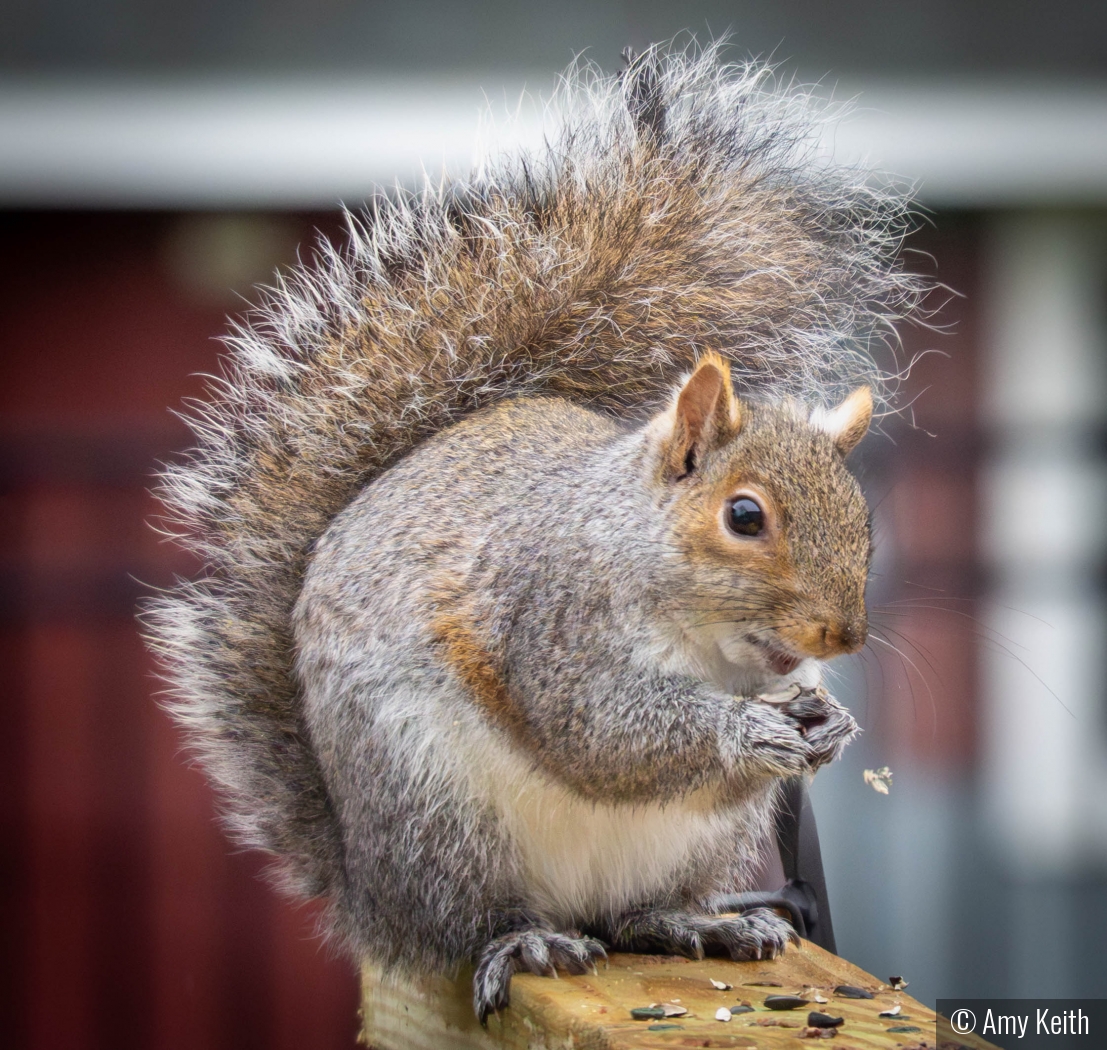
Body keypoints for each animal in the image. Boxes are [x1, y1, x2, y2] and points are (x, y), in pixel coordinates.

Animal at [149, 45, 925, 1022]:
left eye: (862, 518)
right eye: (744, 516)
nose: (841, 636)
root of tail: (367, 892)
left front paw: (830, 726)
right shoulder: (546, 622)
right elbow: (599, 730)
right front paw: (746, 730)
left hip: (693, 842)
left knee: (633, 915)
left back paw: (697, 923)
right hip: (437, 811)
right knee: (474, 922)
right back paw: (526, 940)